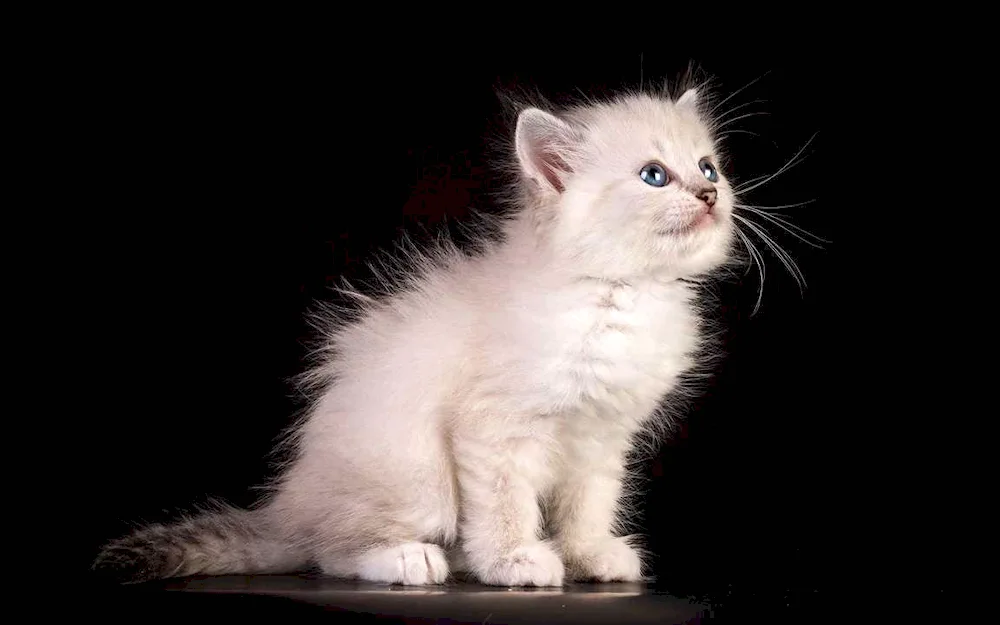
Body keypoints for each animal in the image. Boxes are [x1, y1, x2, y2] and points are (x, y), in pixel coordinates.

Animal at [97, 86, 740, 584]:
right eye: (654, 176)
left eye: (708, 167)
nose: (709, 194)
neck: (620, 292)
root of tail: (286, 507)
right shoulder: (493, 429)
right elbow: (505, 507)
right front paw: (513, 561)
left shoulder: (602, 439)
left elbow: (589, 508)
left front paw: (590, 558)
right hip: (416, 475)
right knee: (329, 552)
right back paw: (413, 561)